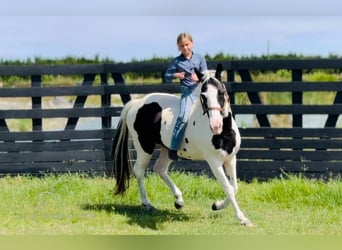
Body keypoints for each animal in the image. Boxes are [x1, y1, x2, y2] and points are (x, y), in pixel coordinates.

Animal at [111, 69, 252, 227]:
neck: (224, 133)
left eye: (221, 92)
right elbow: (228, 188)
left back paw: (179, 201)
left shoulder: (231, 159)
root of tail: (137, 103)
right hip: (144, 149)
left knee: (160, 169)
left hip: (166, 150)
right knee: (139, 172)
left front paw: (217, 205)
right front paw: (242, 218)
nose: (215, 125)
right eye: (203, 96)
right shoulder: (214, 162)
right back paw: (147, 204)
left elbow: (234, 187)